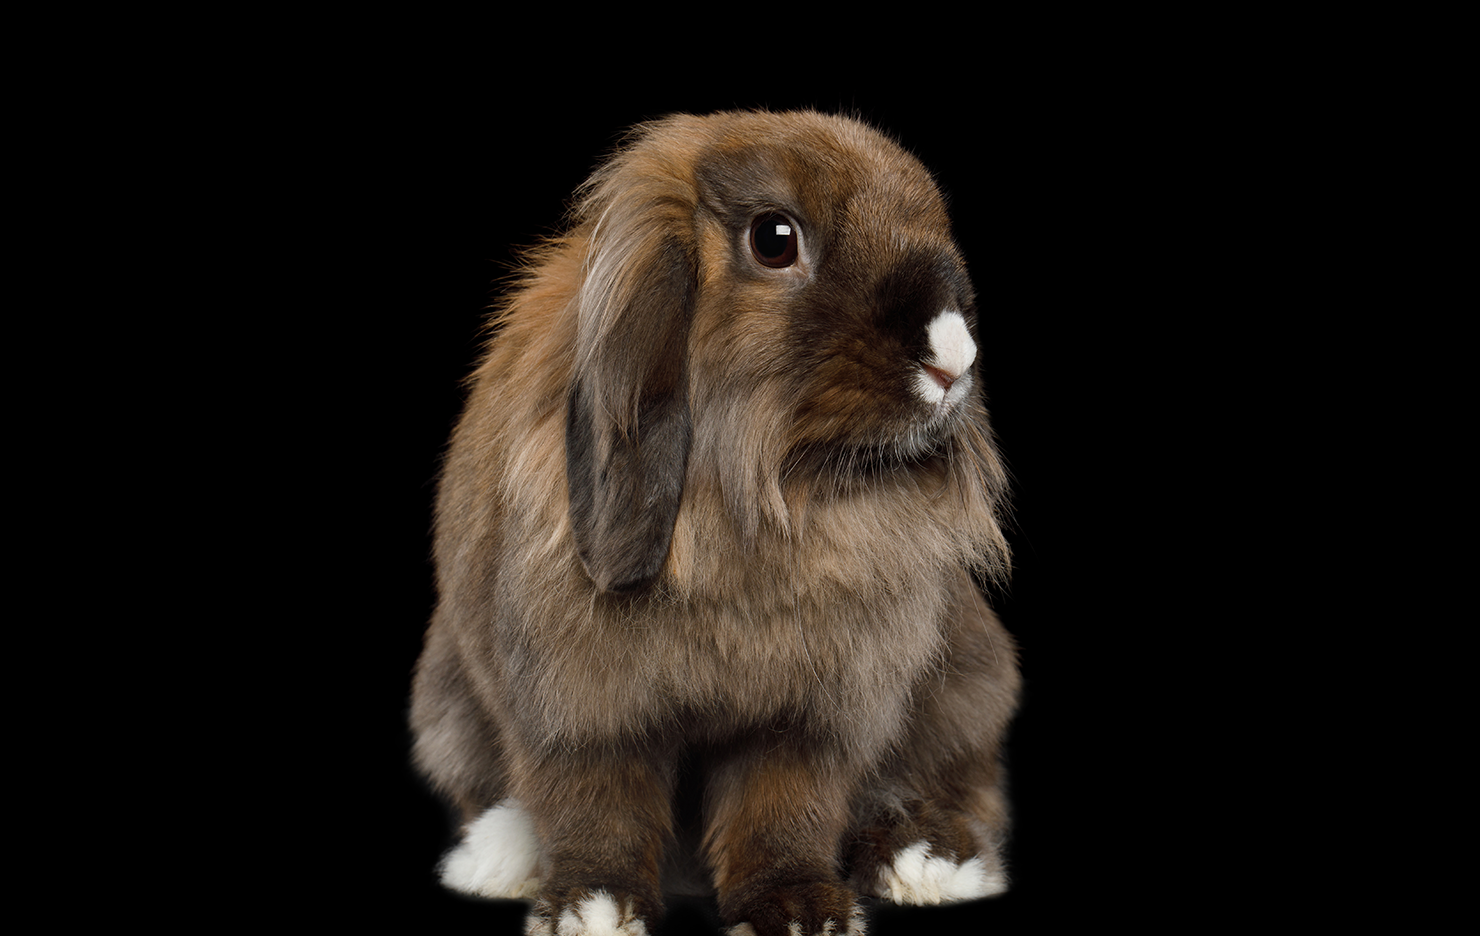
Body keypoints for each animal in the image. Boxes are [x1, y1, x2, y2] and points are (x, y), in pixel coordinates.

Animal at [411, 109, 1020, 936]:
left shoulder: (810, 713)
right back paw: (498, 855)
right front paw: (591, 906)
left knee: (957, 783)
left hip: (970, 685)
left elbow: (782, 808)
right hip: (447, 699)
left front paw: (799, 910)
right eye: (775, 239)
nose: (953, 355)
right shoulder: (582, 707)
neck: (775, 499)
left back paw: (927, 860)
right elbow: (597, 801)